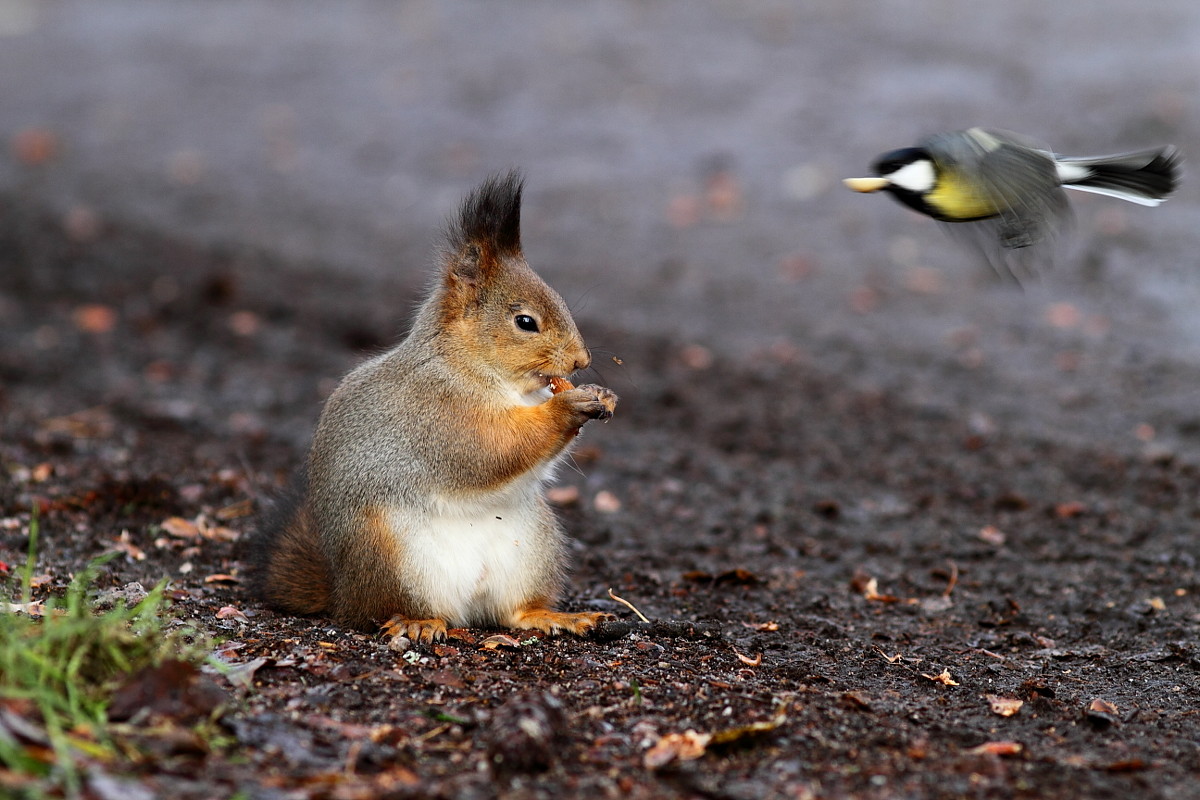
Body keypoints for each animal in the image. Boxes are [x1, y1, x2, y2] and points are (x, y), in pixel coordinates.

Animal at [244, 172, 619, 642]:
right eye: (525, 322)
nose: (580, 361)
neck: (477, 368)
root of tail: (343, 592)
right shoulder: (437, 414)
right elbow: (491, 448)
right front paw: (568, 406)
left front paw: (602, 395)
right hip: (392, 556)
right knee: (386, 609)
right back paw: (418, 622)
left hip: (533, 549)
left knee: (513, 612)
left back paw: (554, 617)